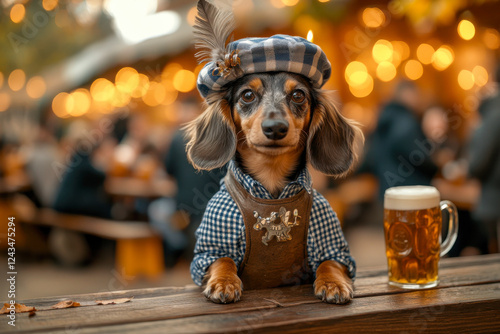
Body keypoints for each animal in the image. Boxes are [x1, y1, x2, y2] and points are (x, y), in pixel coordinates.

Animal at [186, 0, 362, 304]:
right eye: (247, 95)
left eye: (298, 95)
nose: (275, 128)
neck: (270, 183)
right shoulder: (207, 251)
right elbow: (222, 260)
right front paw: (223, 282)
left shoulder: (334, 246)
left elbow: (330, 262)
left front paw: (333, 283)